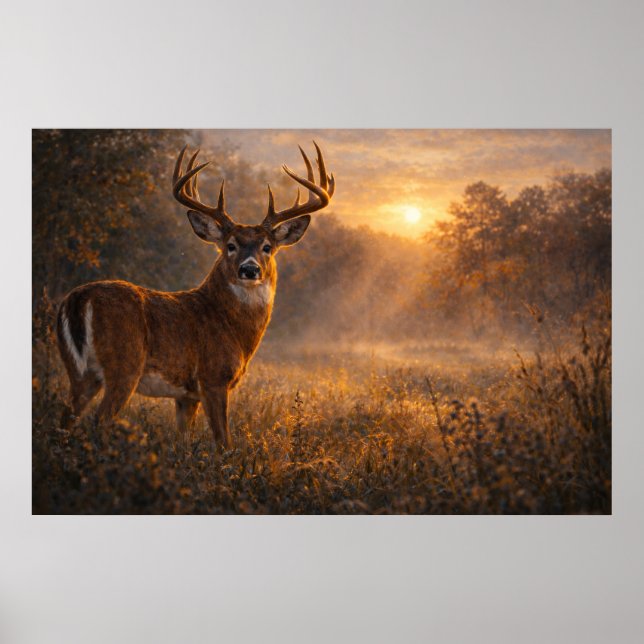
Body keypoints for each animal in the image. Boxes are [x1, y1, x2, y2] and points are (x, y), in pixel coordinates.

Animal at [56, 142, 335, 447]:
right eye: (230, 245)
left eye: (267, 247)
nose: (249, 269)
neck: (232, 328)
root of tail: (78, 299)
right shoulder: (213, 377)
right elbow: (224, 442)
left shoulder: (186, 395)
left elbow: (183, 441)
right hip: (123, 365)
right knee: (98, 422)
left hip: (79, 371)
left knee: (64, 420)